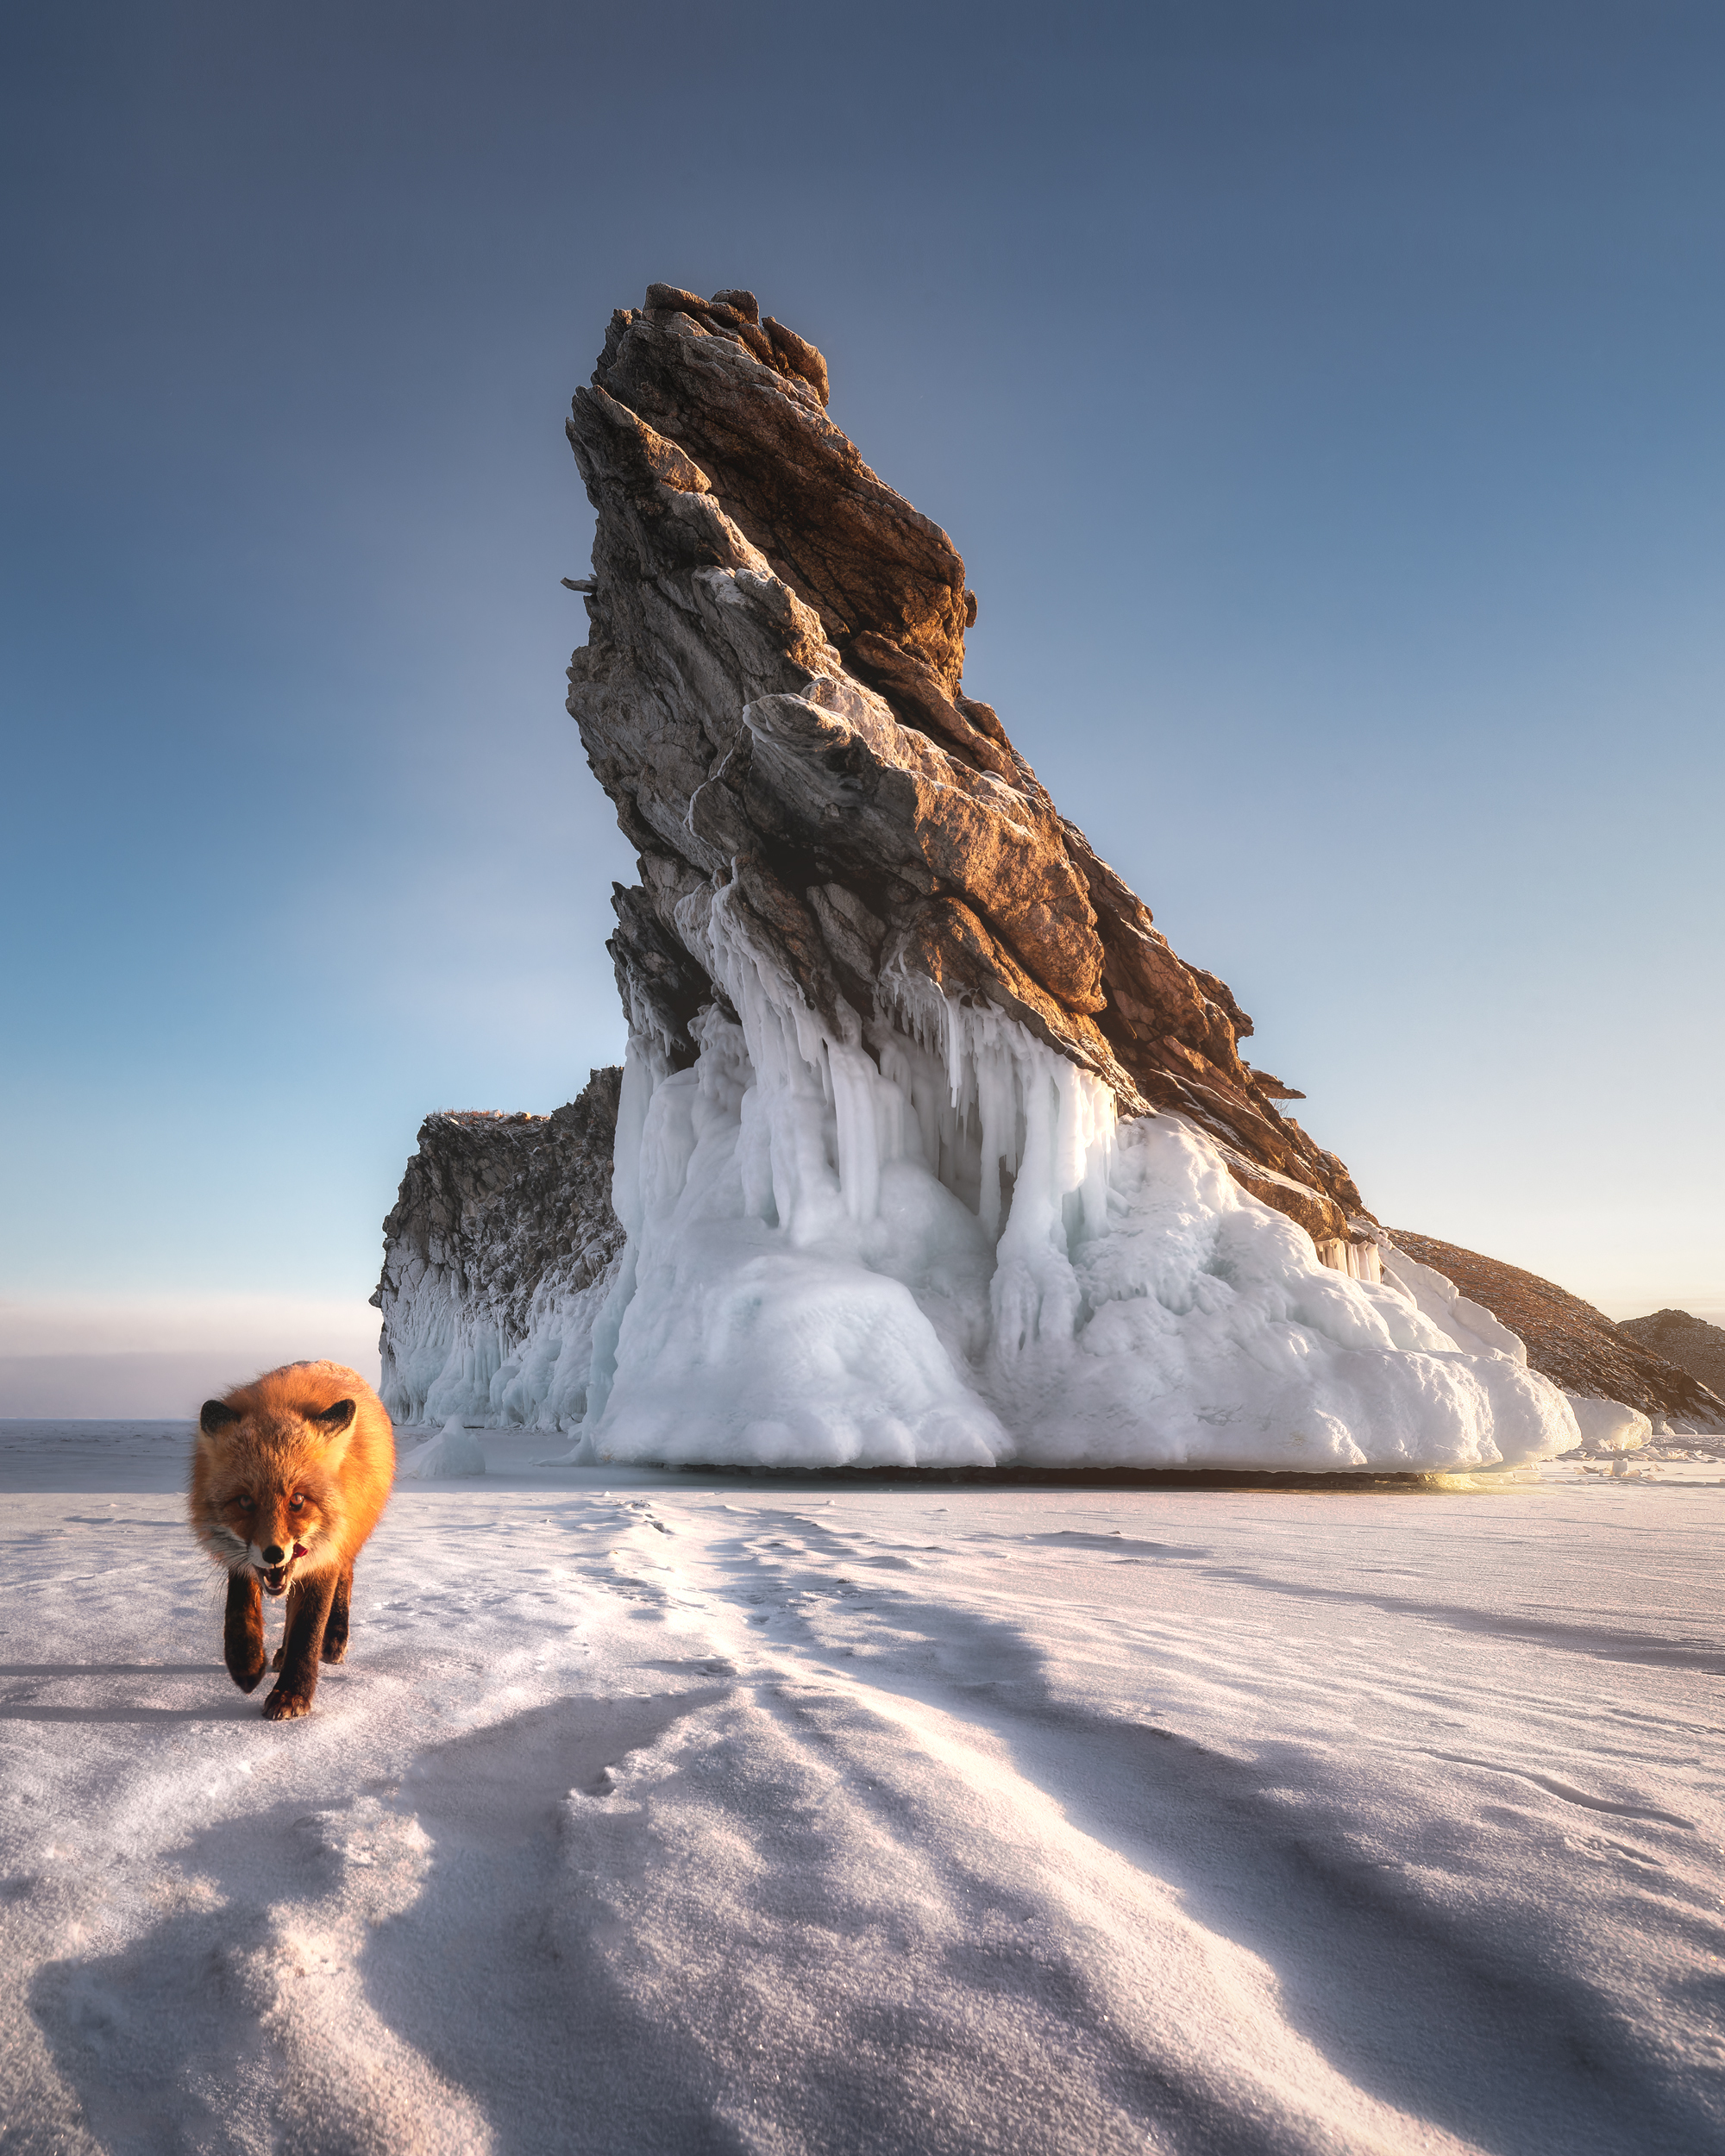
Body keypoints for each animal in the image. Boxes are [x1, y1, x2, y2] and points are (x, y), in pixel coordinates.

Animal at [187, 1363, 394, 1716]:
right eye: (245, 1501)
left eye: (297, 1500)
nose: (273, 1554)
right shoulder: (247, 1560)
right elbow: (240, 1604)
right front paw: (246, 1662)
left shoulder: (323, 1557)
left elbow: (307, 1630)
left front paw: (292, 1693)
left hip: (346, 1541)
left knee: (346, 1578)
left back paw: (335, 1638)